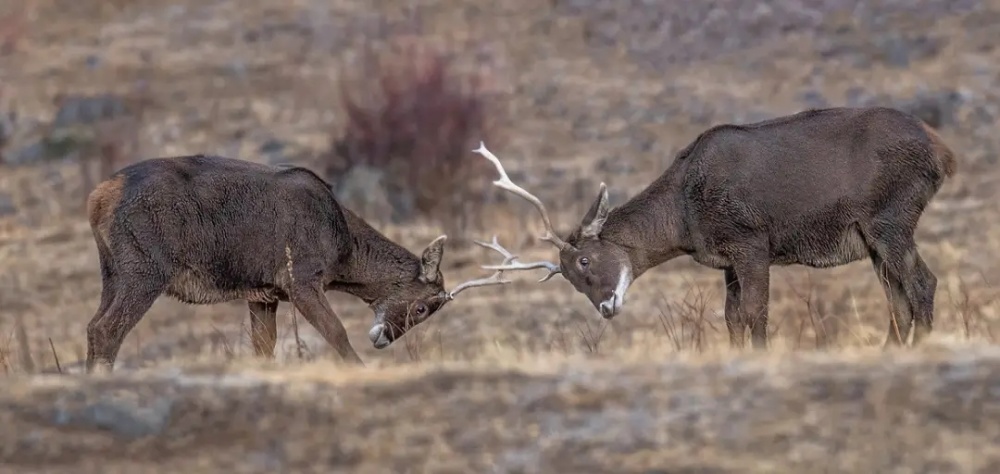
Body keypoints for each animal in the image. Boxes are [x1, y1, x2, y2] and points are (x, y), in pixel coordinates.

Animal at [85, 155, 516, 370]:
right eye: (424, 306)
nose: (382, 340)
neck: (342, 252)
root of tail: (98, 197)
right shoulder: (300, 278)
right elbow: (336, 332)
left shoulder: (262, 291)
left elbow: (264, 346)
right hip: (145, 267)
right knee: (107, 329)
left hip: (112, 270)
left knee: (92, 326)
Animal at [476, 106, 960, 348]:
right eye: (571, 279)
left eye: (584, 260)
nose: (607, 308)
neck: (686, 216)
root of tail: (944, 153)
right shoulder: (726, 259)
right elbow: (732, 318)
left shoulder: (752, 241)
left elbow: (756, 313)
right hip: (873, 236)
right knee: (898, 300)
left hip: (891, 216)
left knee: (923, 283)